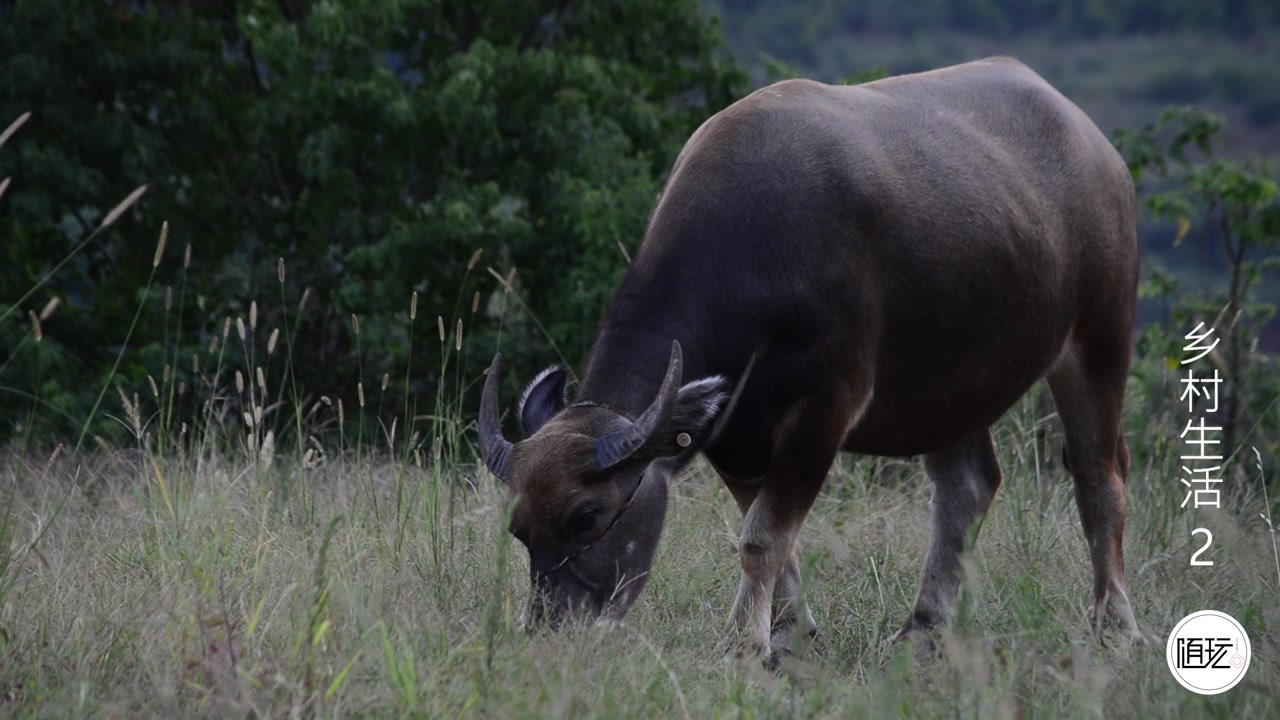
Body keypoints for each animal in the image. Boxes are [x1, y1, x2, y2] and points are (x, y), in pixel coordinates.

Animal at [478, 56, 1141, 655]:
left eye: (587, 517)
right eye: (519, 528)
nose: (553, 630)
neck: (755, 250)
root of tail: (1098, 150)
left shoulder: (823, 409)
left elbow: (760, 539)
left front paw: (744, 644)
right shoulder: (736, 433)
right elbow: (771, 536)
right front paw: (789, 631)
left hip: (1100, 336)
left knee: (1097, 478)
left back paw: (1115, 624)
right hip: (952, 387)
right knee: (968, 486)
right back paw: (923, 629)